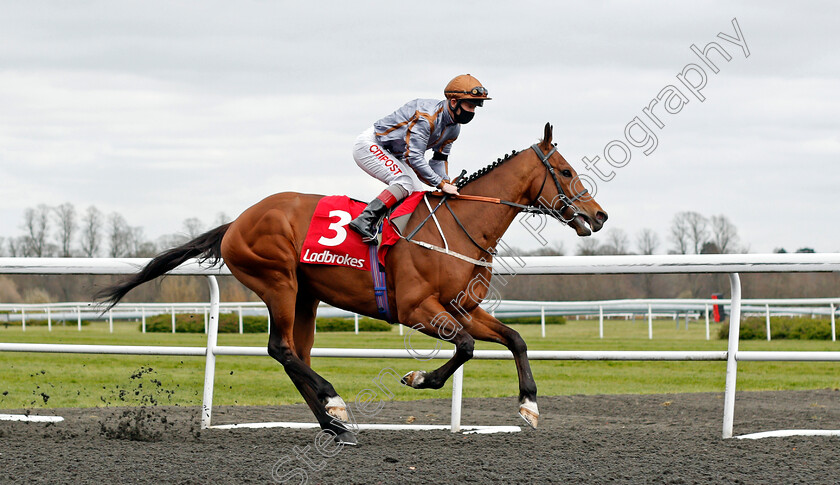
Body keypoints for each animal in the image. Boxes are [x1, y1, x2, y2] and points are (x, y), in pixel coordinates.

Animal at [98, 123, 608, 444]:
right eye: (565, 171)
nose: (599, 215)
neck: (461, 225)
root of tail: (236, 223)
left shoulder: (462, 307)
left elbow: (516, 338)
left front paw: (529, 406)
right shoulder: (418, 309)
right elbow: (465, 347)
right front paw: (418, 377)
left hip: (305, 296)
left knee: (295, 354)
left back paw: (334, 426)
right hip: (278, 282)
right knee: (280, 349)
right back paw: (336, 404)